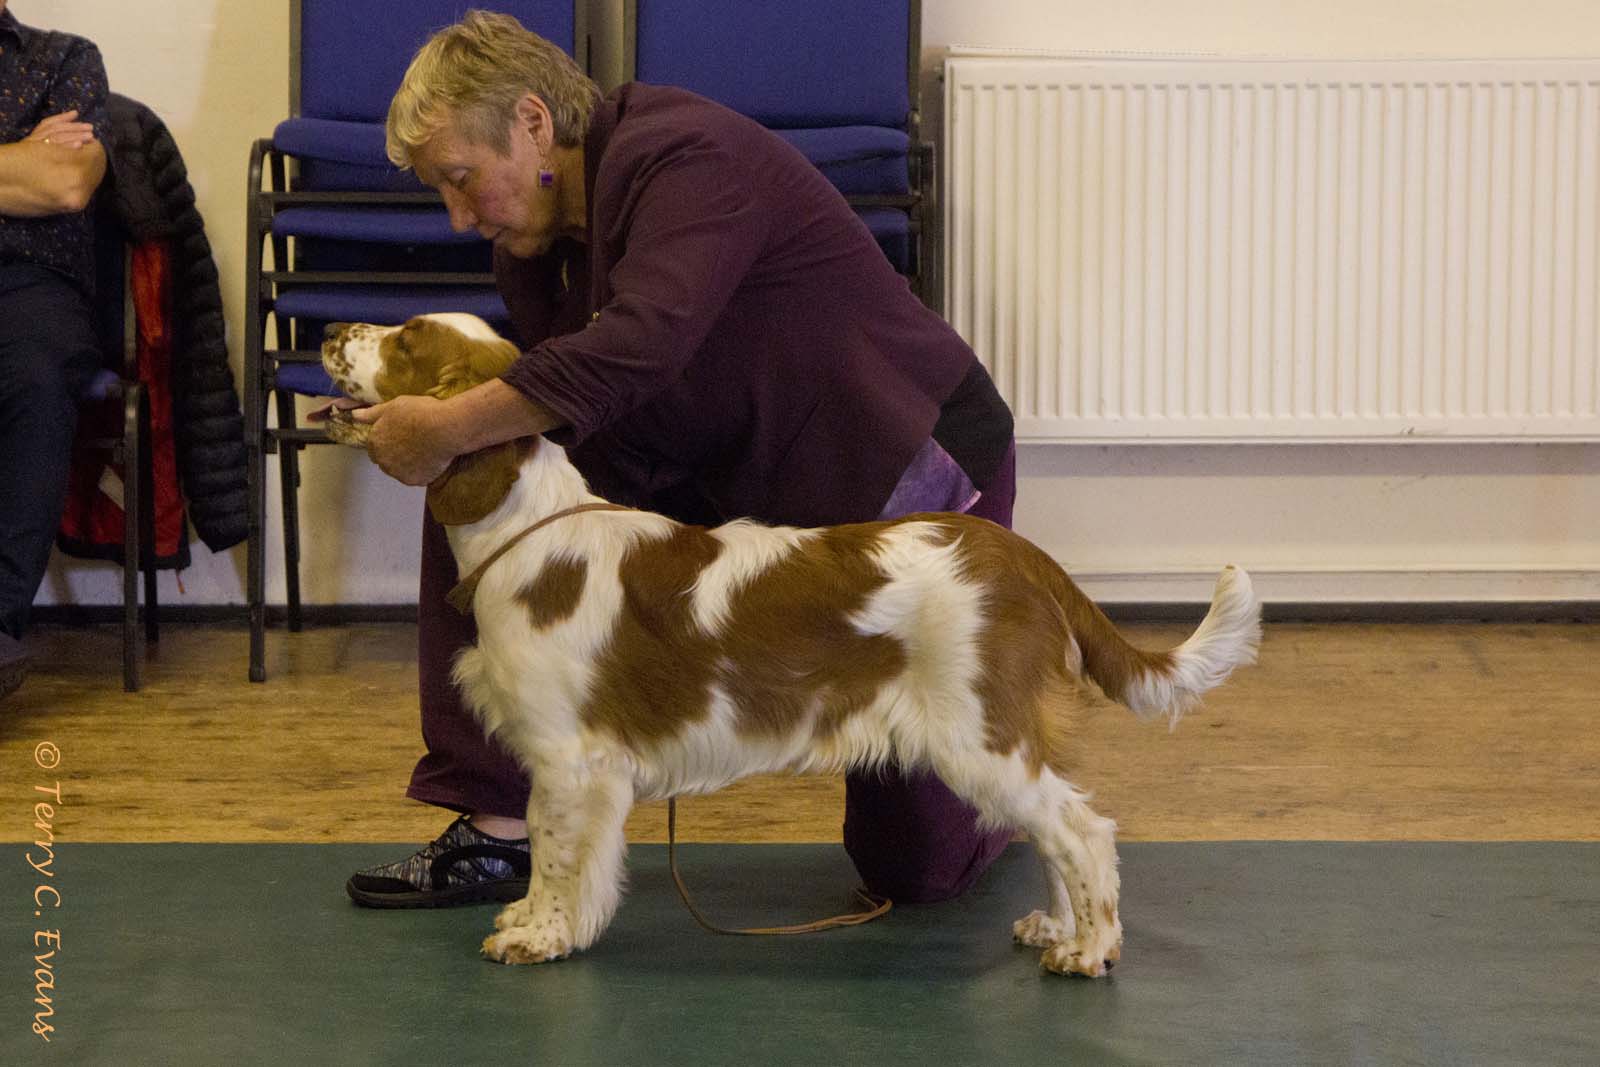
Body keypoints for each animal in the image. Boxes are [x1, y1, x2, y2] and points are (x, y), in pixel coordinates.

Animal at [321, 313, 1261, 976]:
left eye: (406, 340)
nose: (328, 331)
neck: (524, 527)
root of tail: (1018, 553)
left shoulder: (570, 759)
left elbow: (556, 856)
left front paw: (537, 937)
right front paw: (528, 920)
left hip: (978, 738)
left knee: (1082, 827)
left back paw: (1089, 948)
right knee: (1056, 825)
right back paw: (1057, 926)